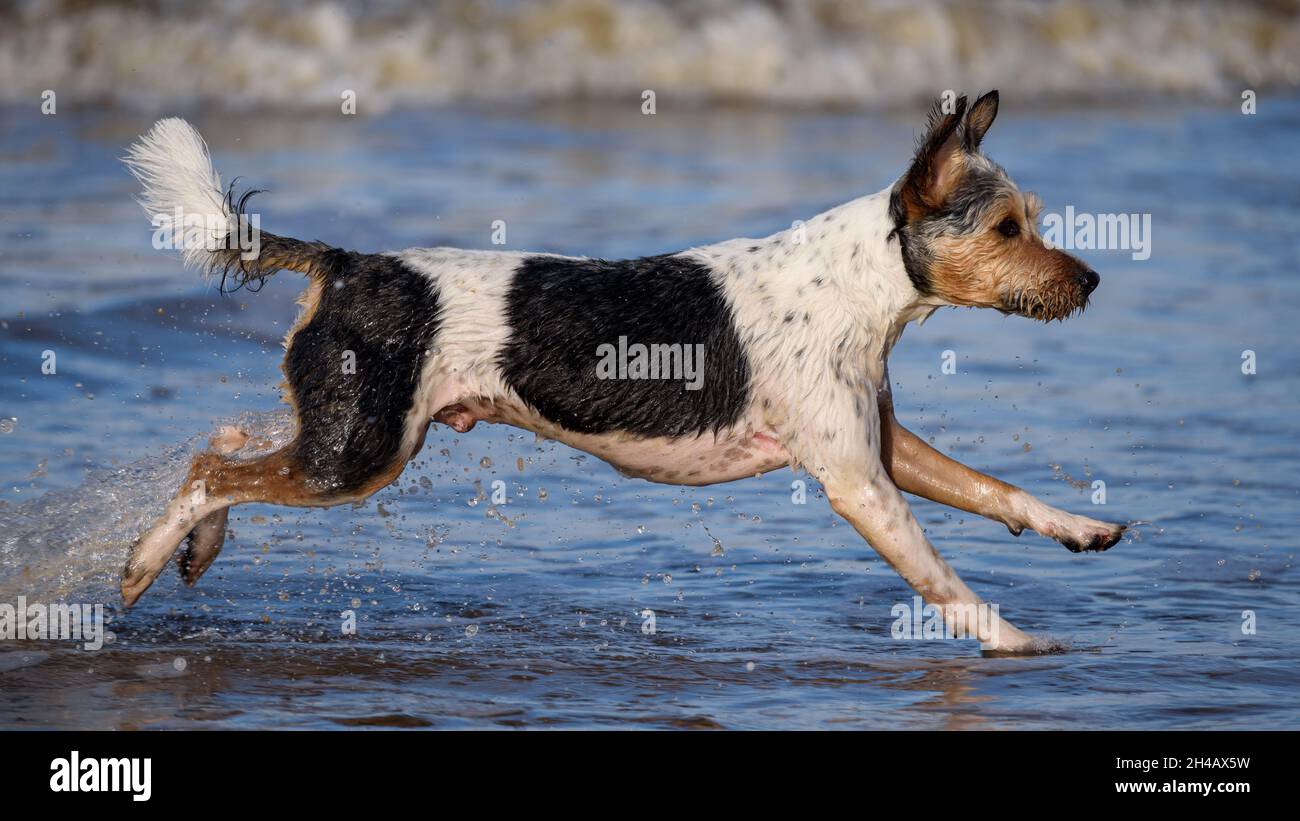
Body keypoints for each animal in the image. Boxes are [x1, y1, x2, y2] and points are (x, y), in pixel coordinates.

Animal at [119, 91, 1128, 654]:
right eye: (1007, 229)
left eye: (1034, 220)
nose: (1090, 280)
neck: (863, 283)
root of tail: (347, 262)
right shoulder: (858, 481)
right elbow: (947, 583)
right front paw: (1018, 641)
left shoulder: (881, 446)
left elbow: (993, 488)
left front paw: (1079, 527)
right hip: (360, 451)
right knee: (211, 468)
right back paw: (141, 562)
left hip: (352, 426)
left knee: (226, 442)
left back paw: (194, 549)